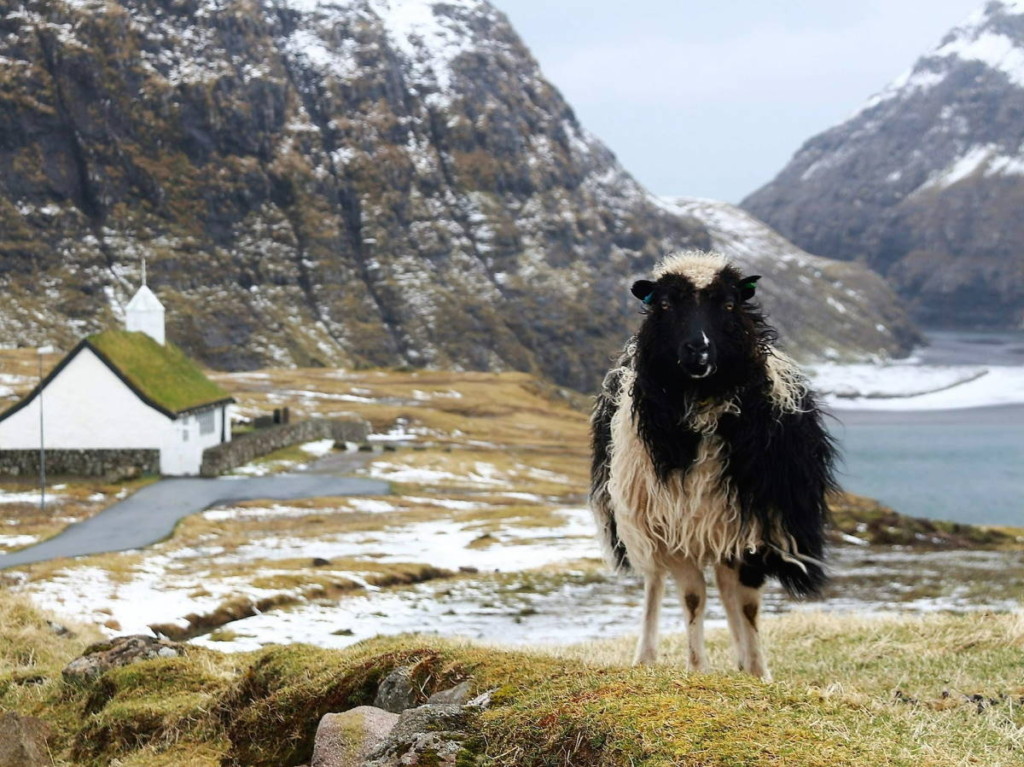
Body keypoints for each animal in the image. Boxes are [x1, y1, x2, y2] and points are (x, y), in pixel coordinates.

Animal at [589, 249, 835, 675]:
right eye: (665, 304)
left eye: (730, 304)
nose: (697, 350)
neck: (703, 404)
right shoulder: (673, 525)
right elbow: (692, 599)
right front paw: (697, 668)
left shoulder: (754, 526)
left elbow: (748, 604)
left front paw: (758, 671)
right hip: (640, 519)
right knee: (655, 582)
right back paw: (646, 655)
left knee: (727, 586)